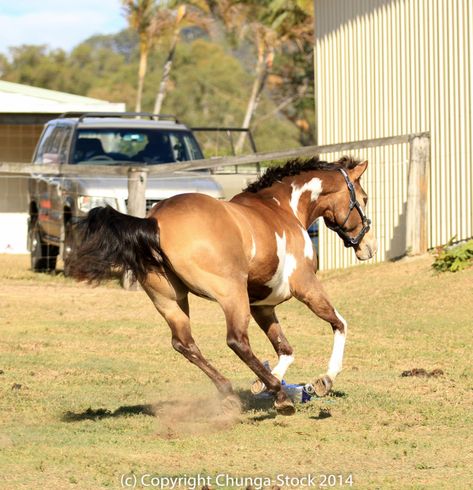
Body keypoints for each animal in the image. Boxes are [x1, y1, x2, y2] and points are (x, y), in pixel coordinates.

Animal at [68, 155, 376, 416]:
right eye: (364, 198)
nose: (369, 247)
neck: (282, 208)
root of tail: (154, 222)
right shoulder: (305, 286)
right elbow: (339, 323)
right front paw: (323, 380)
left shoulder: (263, 305)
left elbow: (285, 349)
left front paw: (265, 382)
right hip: (231, 294)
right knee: (236, 340)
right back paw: (279, 397)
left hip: (170, 300)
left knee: (185, 344)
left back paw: (232, 392)